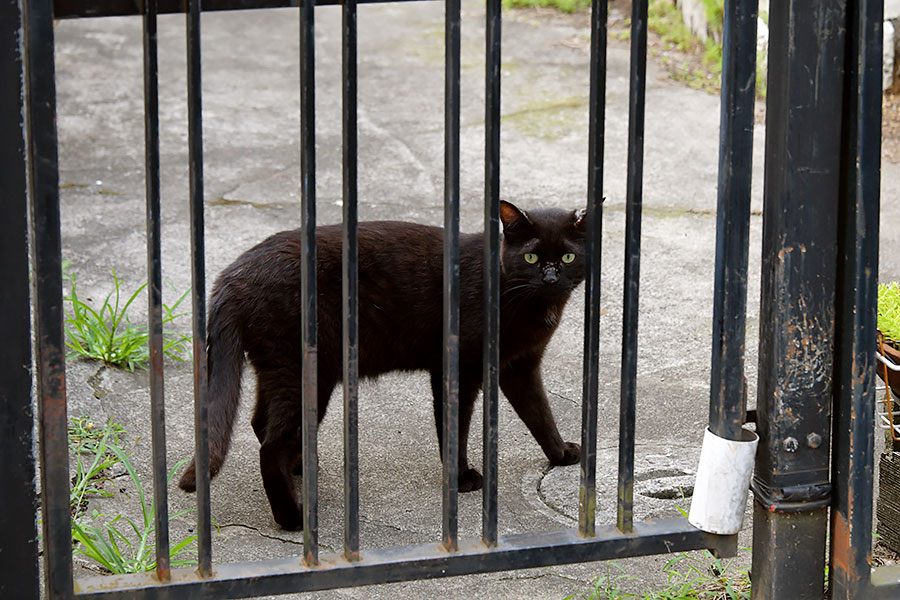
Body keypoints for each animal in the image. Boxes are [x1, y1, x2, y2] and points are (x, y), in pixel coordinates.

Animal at [179, 202, 588, 528]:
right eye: (532, 257)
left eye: (568, 257)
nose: (551, 276)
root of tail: (230, 276)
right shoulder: (458, 367)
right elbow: (455, 427)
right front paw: (460, 479)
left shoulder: (520, 367)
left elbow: (540, 413)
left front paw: (561, 455)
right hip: (305, 369)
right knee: (270, 444)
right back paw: (292, 517)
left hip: (282, 368)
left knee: (261, 423)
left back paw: (301, 468)